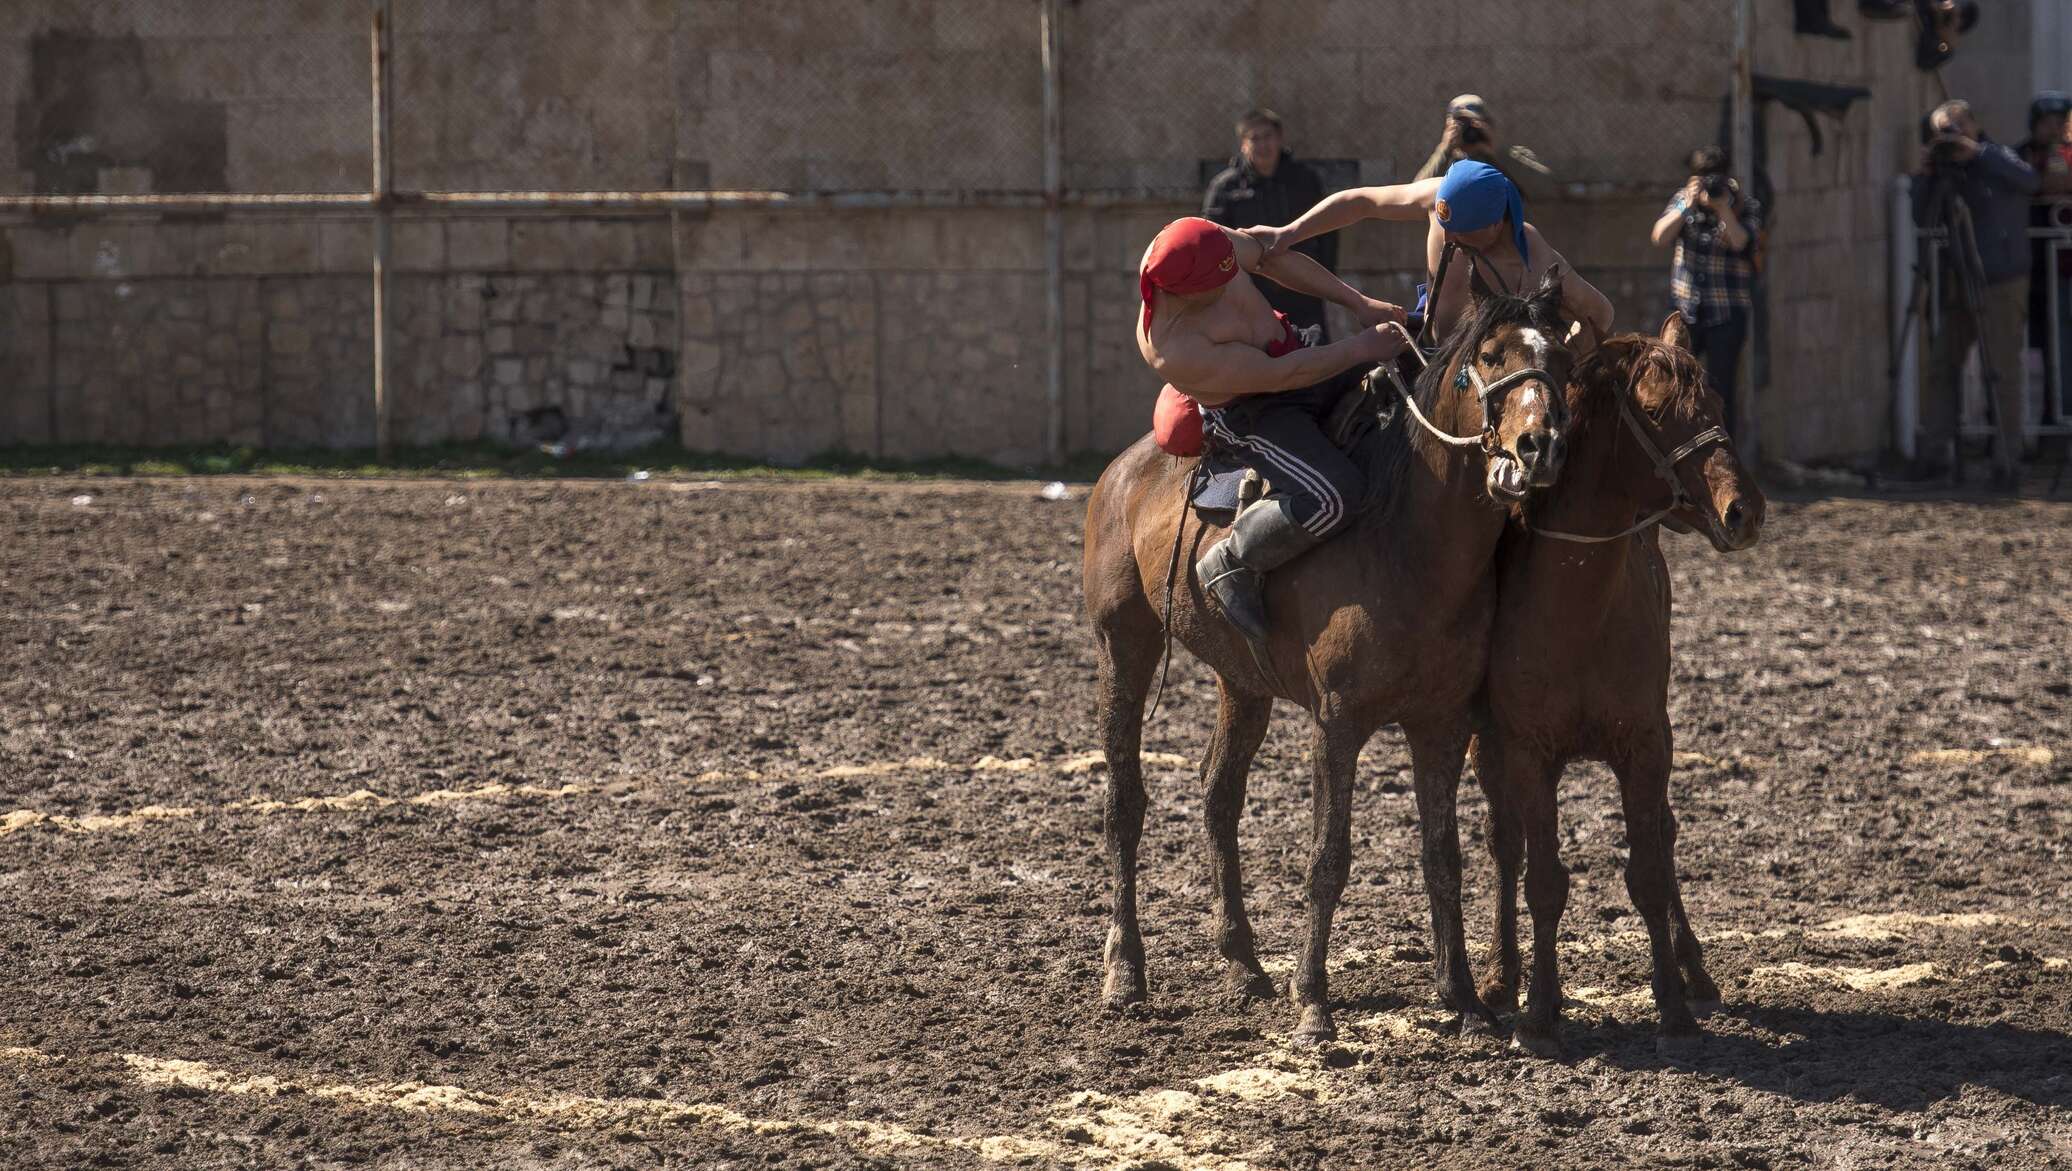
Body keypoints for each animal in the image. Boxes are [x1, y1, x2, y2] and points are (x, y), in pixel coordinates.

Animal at [1085, 273, 1566, 1040]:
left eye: (1562, 356)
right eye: (1489, 356)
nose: (1538, 444)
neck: (1409, 541)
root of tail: (1124, 471)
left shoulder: (1442, 723)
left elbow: (1443, 855)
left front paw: (1461, 997)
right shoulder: (1337, 721)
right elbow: (1328, 858)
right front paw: (1313, 1001)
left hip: (1242, 683)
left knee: (1219, 795)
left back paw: (1243, 964)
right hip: (1123, 648)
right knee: (1125, 804)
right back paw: (1125, 971)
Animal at [1458, 308, 1765, 1048]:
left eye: (1715, 403)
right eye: (1654, 411)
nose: (1744, 510)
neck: (1577, 606)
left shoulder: (1647, 743)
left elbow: (1649, 868)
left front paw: (1674, 1003)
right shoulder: (1527, 751)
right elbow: (1542, 877)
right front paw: (1539, 1010)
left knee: (1665, 834)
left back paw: (1694, 970)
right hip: (1486, 748)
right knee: (1506, 846)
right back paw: (1500, 976)